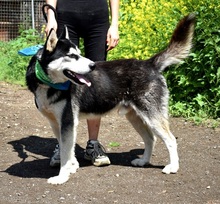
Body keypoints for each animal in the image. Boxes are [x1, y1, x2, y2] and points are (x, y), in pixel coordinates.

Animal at [26, 13, 196, 184]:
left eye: (79, 54)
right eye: (72, 56)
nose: (93, 65)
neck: (48, 84)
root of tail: (149, 63)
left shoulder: (68, 122)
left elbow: (66, 154)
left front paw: (62, 176)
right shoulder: (57, 124)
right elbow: (65, 150)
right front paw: (72, 167)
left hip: (153, 117)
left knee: (171, 139)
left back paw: (173, 167)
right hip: (135, 117)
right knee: (150, 139)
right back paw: (143, 161)